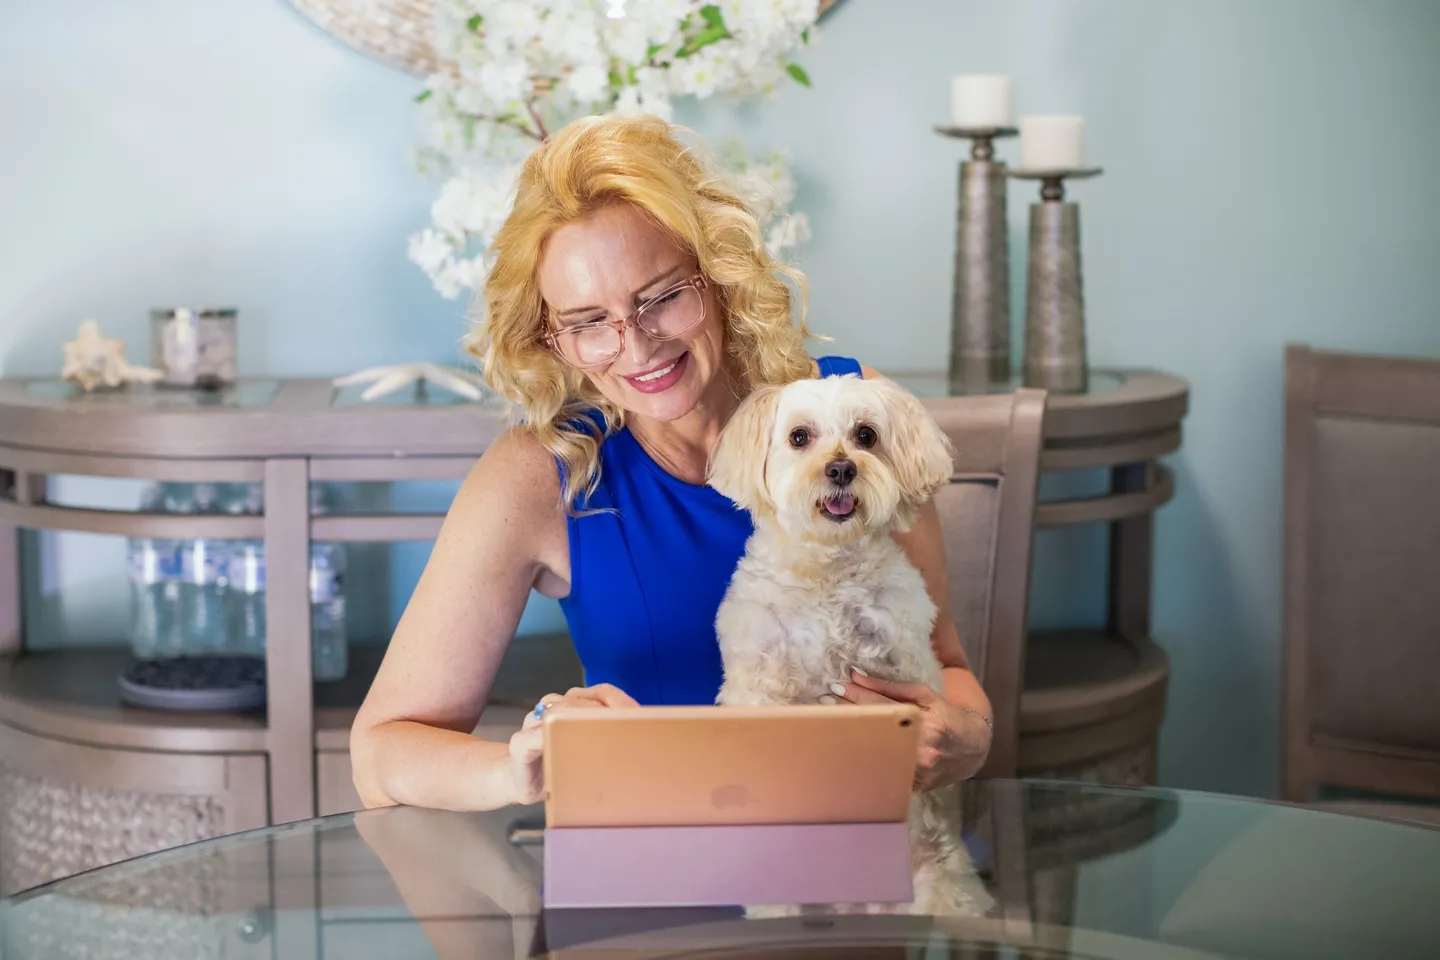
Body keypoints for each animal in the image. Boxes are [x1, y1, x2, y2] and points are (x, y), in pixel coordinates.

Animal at [705, 371, 990, 921]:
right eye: (799, 437)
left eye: (866, 435)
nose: (840, 468)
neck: (827, 571)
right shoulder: (759, 682)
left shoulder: (903, 666)